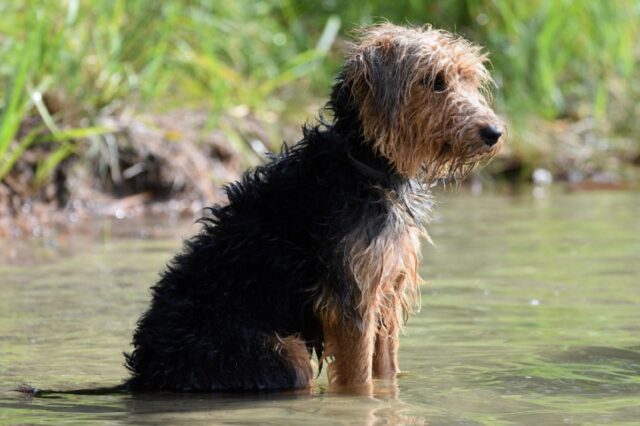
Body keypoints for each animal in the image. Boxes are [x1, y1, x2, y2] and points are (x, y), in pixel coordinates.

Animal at [126, 23, 504, 392]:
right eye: (435, 81)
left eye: (470, 80)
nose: (494, 132)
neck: (362, 165)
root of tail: (146, 373)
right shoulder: (352, 303)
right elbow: (358, 383)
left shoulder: (386, 292)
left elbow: (387, 372)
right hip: (282, 355)